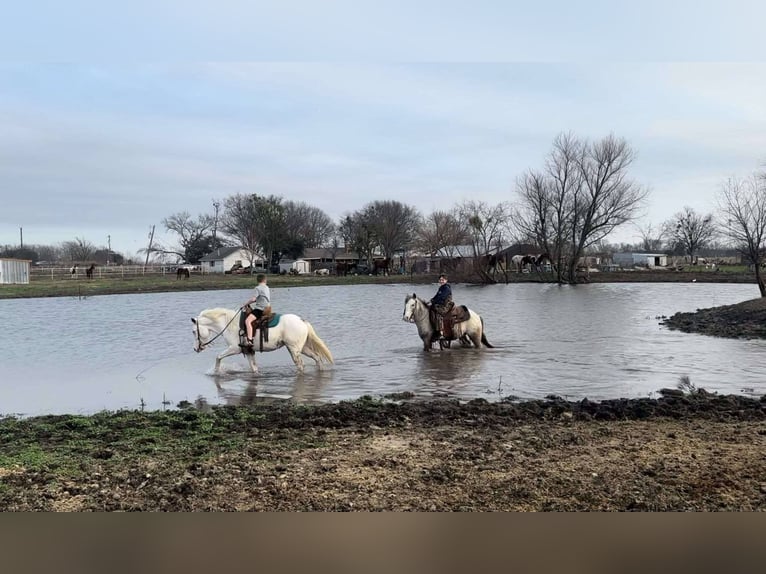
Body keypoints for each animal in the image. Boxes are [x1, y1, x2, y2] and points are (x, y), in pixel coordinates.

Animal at [191, 307, 334, 374]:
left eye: (193, 331)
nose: (195, 348)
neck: (229, 324)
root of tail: (302, 321)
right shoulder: (248, 351)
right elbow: (254, 368)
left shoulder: (234, 348)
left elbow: (218, 357)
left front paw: (216, 372)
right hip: (302, 348)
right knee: (317, 358)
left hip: (294, 350)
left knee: (301, 365)